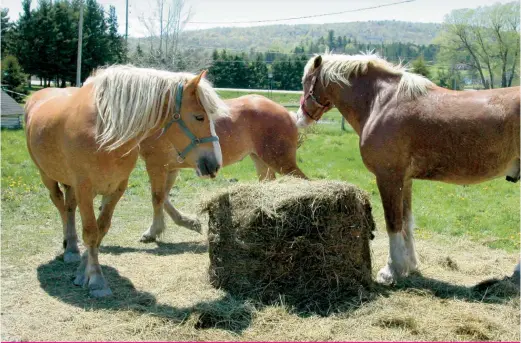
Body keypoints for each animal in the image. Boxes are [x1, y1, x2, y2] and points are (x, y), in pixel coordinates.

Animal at [24, 66, 228, 296]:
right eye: (199, 117)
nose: (215, 163)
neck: (104, 130)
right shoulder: (84, 188)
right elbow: (91, 232)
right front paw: (96, 280)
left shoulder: (116, 188)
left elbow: (101, 229)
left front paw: (84, 271)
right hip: (48, 177)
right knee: (61, 206)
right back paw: (71, 249)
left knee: (69, 207)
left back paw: (72, 247)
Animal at [138, 94, 306, 243]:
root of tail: (287, 113)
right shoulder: (170, 168)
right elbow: (164, 197)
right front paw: (188, 222)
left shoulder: (156, 166)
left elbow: (157, 198)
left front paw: (151, 232)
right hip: (260, 160)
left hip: (281, 162)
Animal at [294, 53, 516, 284]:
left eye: (306, 81)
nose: (299, 118)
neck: (381, 101)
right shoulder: (405, 180)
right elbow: (407, 222)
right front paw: (410, 266)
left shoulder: (388, 178)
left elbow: (393, 223)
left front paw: (392, 270)